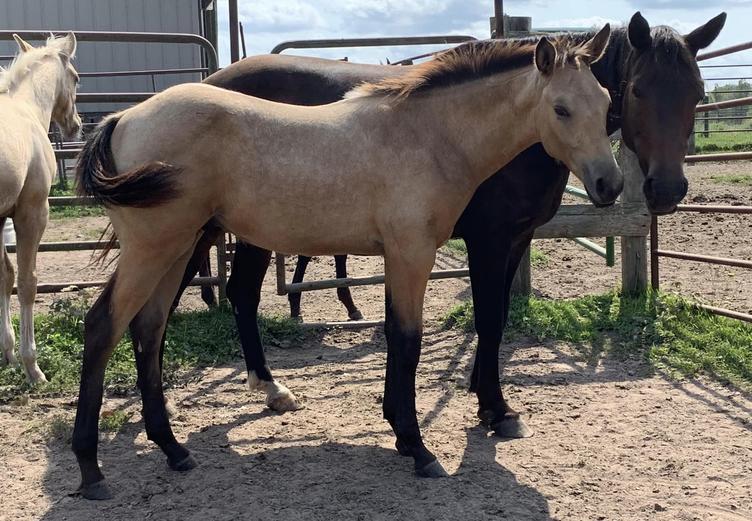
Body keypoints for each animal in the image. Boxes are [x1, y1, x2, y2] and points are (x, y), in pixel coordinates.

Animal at [72, 30, 621, 499]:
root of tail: (124, 118)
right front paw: (419, 448)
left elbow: (396, 336)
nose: (609, 185)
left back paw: (172, 448)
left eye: (607, 103)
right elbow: (409, 341)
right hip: (156, 247)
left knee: (148, 327)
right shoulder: (416, 253)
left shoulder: (402, 256)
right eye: (561, 109)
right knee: (103, 325)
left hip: (179, 246)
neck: (428, 136)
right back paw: (91, 469)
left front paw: (403, 431)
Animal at [165, 12, 725, 427]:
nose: (667, 190)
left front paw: (480, 390)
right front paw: (493, 407)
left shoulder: (516, 239)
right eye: (639, 91)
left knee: (238, 293)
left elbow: (497, 315)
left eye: (697, 91)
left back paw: (269, 388)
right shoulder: (487, 240)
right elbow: (489, 316)